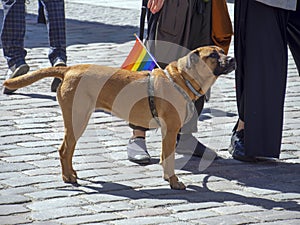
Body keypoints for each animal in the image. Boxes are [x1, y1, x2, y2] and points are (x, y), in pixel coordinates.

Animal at [3, 45, 236, 190]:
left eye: (222, 51)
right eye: (213, 55)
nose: (232, 59)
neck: (180, 79)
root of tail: (68, 69)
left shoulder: (169, 131)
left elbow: (166, 157)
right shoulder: (170, 129)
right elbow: (167, 159)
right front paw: (173, 181)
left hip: (77, 120)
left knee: (68, 150)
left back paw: (72, 174)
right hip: (77, 119)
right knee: (64, 150)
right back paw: (68, 177)